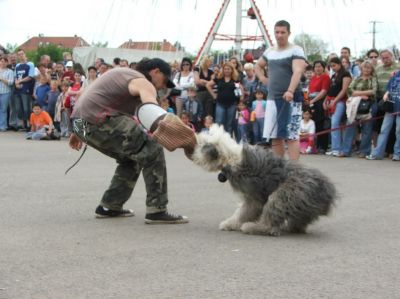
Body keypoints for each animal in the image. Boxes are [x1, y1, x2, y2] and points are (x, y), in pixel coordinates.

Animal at [192, 125, 336, 237]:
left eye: (201, 145)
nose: (192, 150)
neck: (231, 157)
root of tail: (327, 191)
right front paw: (230, 224)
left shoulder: (253, 196)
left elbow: (244, 212)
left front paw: (230, 223)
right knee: (299, 222)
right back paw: (291, 228)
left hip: (287, 193)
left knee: (271, 221)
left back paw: (253, 227)